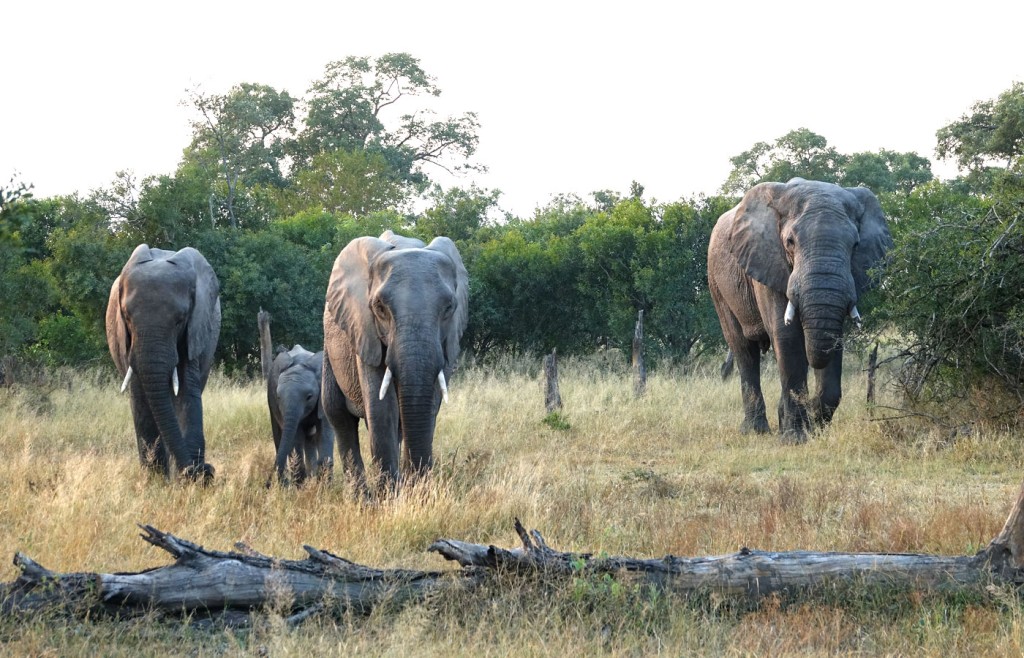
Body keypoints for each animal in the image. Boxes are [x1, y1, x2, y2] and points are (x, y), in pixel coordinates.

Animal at [104, 244, 221, 480]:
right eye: (126, 317)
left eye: (180, 320)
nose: (207, 470)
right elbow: (141, 398)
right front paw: (156, 480)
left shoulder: (194, 330)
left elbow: (186, 392)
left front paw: (189, 479)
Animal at [321, 229, 468, 487]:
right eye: (379, 307)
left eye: (449, 307)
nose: (416, 483)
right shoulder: (365, 331)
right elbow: (381, 409)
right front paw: (390, 494)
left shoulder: (448, 341)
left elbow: (430, 404)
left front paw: (415, 491)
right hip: (330, 350)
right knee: (339, 417)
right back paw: (362, 495)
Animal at [708, 179, 892, 442]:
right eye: (790, 242)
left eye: (855, 245)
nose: (814, 419)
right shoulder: (767, 261)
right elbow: (788, 339)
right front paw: (796, 438)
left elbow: (832, 339)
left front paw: (812, 426)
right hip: (717, 283)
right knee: (744, 350)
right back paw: (755, 430)